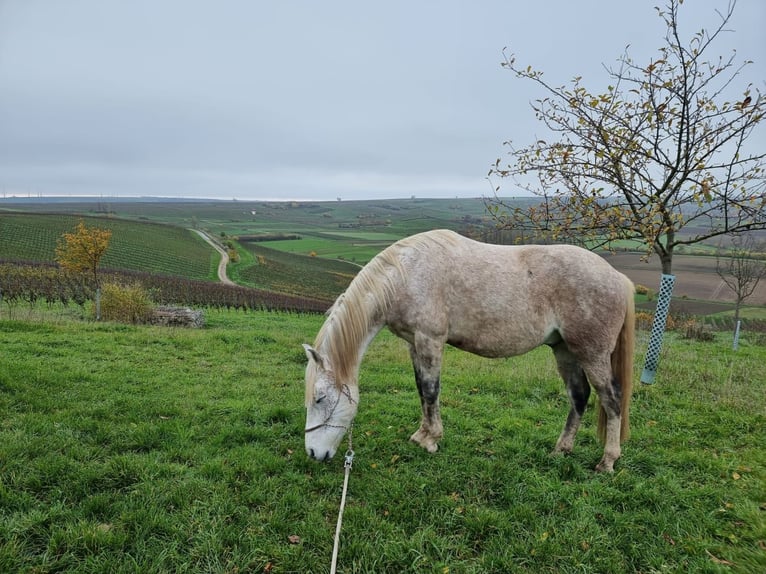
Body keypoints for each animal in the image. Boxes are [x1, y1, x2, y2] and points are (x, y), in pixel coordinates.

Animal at [303, 229, 635, 472]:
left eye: (319, 398)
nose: (313, 452)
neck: (407, 274)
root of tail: (619, 278)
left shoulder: (430, 340)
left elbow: (431, 390)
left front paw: (431, 441)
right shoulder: (414, 343)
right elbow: (421, 390)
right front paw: (421, 435)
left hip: (592, 353)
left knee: (611, 399)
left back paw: (607, 461)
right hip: (565, 350)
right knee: (579, 397)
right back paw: (560, 451)